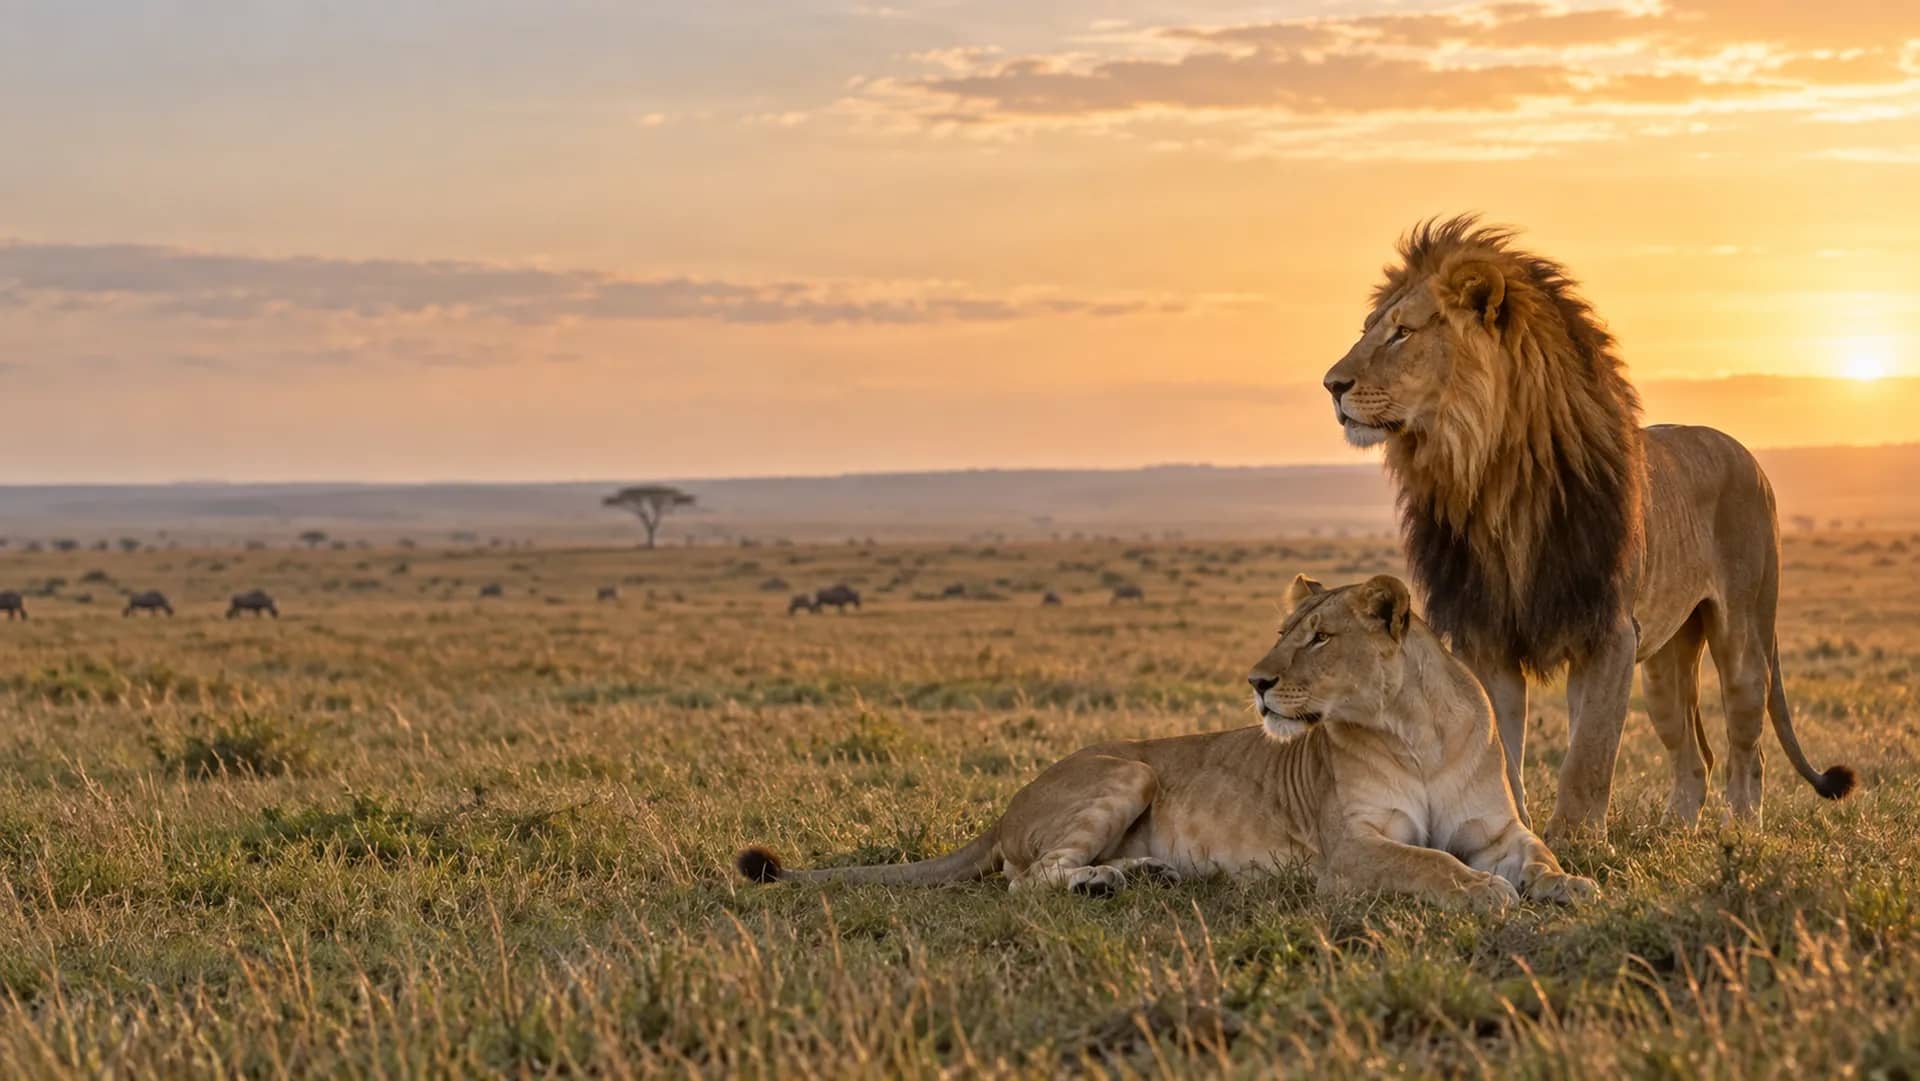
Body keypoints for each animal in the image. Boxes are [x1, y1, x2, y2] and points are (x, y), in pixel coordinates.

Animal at [737, 575, 1595, 911]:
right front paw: (1482, 892)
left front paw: (1571, 886)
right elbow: (1429, 862)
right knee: (1028, 878)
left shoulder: (1497, 829)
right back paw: (1101, 882)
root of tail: (1005, 807)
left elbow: (1539, 855)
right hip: (1127, 772)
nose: (1256, 680)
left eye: (1318, 637)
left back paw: (1142, 872)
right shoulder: (1351, 850)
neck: (1412, 728)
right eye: (1284, 630)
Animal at [1322, 216, 1853, 836]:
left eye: (1402, 333)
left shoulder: (1607, 630)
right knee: (1693, 753)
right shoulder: (1487, 636)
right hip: (1664, 667)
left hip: (1743, 637)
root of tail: (1746, 455)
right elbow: (1503, 750)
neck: (1493, 478)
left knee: (1749, 748)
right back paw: (1676, 833)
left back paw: (1741, 833)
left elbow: (1589, 753)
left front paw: (1576, 838)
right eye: (1368, 331)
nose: (1331, 385)